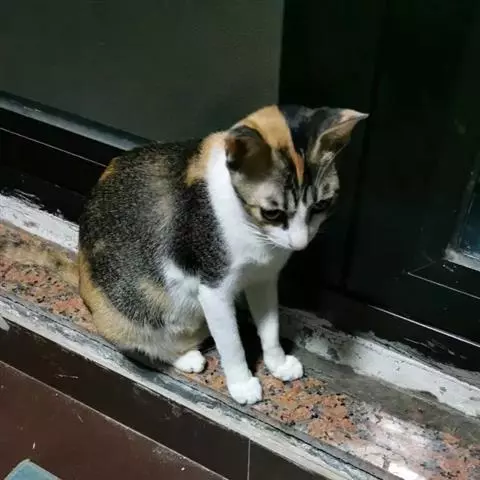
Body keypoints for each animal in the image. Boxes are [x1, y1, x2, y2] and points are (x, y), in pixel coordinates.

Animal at [78, 105, 367, 405]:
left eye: (321, 204)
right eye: (272, 213)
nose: (299, 244)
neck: (254, 234)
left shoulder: (264, 279)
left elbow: (270, 326)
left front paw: (277, 363)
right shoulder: (213, 289)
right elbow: (232, 343)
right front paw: (242, 383)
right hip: (126, 312)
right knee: (140, 344)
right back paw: (181, 357)